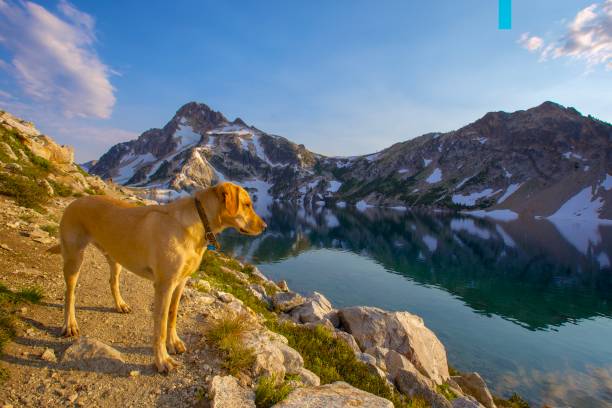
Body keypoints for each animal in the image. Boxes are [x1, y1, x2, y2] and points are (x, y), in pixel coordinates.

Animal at [49, 182, 266, 372]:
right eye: (247, 204)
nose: (264, 226)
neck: (197, 222)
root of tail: (75, 201)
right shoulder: (164, 285)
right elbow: (160, 326)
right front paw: (162, 360)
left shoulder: (180, 283)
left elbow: (172, 315)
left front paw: (174, 342)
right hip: (74, 258)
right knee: (70, 293)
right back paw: (70, 324)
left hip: (115, 257)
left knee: (113, 281)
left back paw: (120, 304)